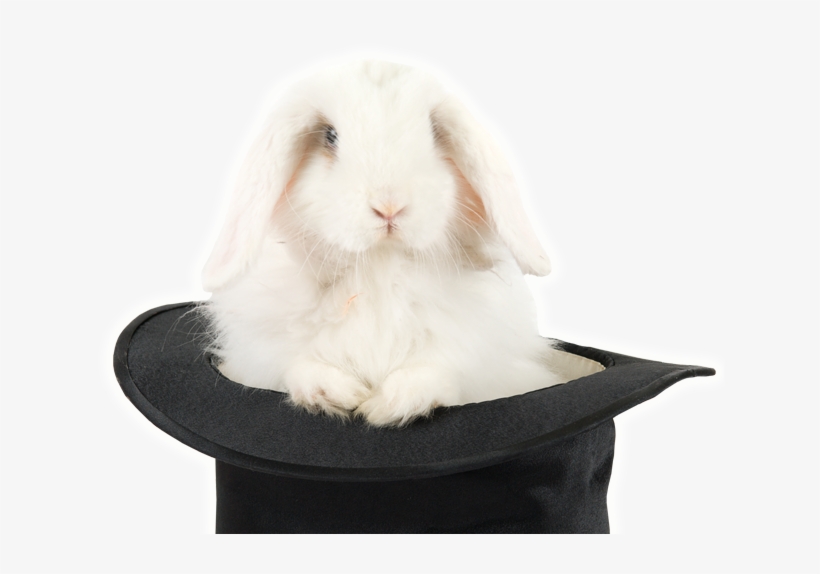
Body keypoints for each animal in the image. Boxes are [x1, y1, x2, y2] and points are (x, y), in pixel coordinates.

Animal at [202, 60, 574, 427]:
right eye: (330, 136)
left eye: (433, 133)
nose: (390, 206)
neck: (379, 264)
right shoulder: (262, 351)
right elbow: (298, 365)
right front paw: (336, 395)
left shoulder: (476, 357)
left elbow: (435, 372)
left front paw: (389, 406)